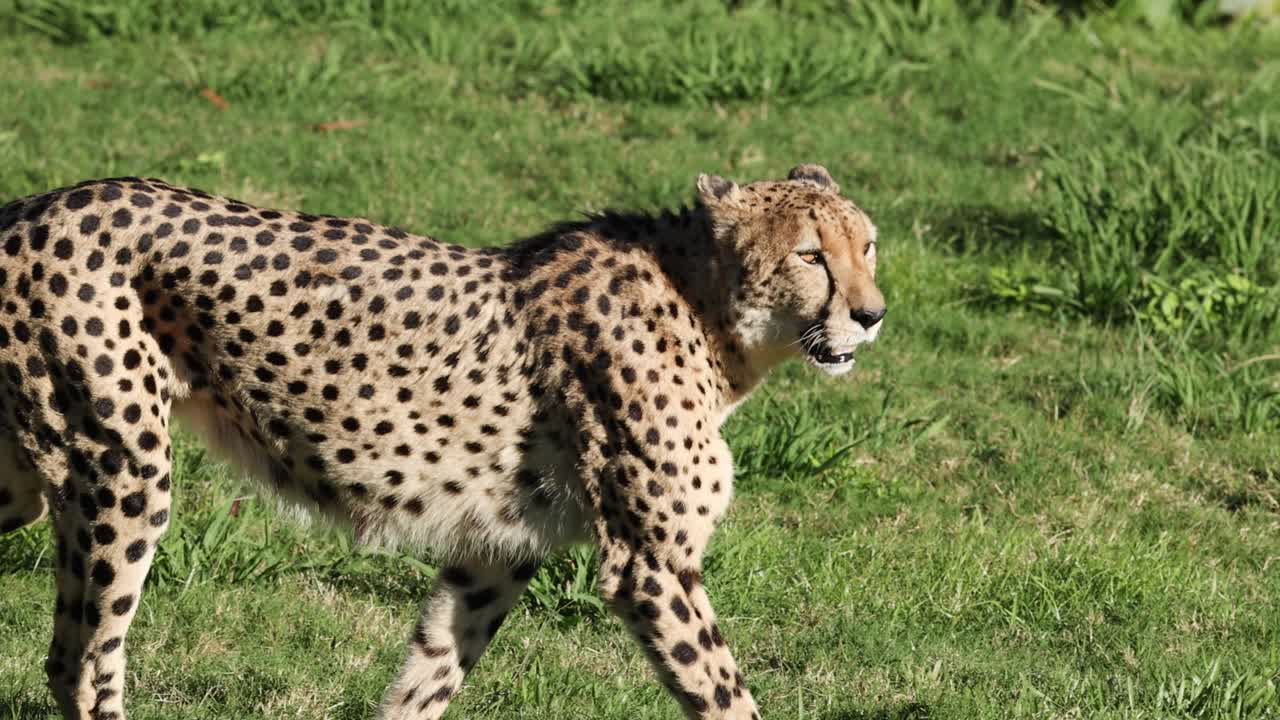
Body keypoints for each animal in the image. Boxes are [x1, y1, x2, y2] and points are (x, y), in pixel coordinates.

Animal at [0, 163, 885, 719]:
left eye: (868, 244)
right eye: (811, 255)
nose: (872, 314)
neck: (705, 308)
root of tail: (34, 204)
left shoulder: (497, 550)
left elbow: (426, 678)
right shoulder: (650, 564)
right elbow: (727, 695)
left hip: (30, 483)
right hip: (121, 471)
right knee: (80, 666)